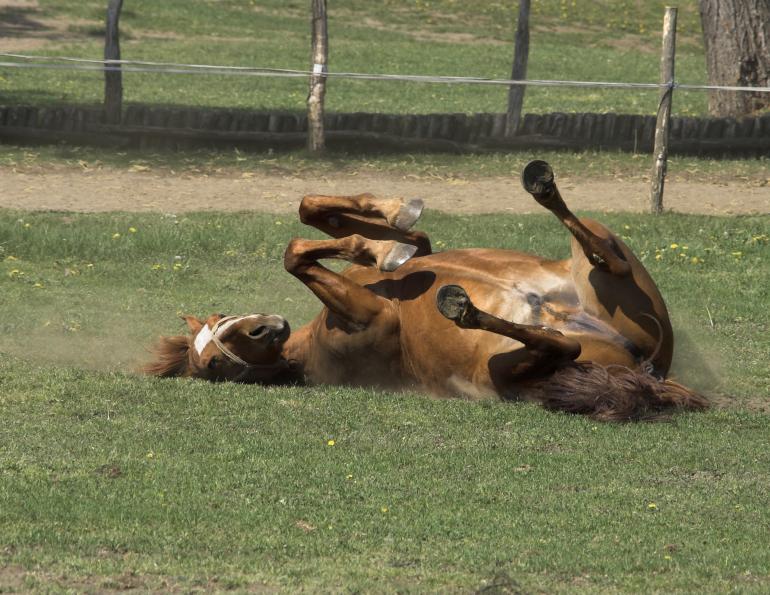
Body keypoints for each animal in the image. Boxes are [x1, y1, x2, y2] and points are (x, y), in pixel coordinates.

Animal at [144, 161, 707, 421]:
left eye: (219, 319)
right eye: (211, 364)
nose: (266, 327)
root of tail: (647, 370)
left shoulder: (404, 266)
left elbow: (320, 218)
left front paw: (387, 230)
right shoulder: (372, 316)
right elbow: (295, 253)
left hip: (608, 273)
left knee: (601, 254)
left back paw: (541, 188)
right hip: (508, 371)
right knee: (558, 342)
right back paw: (464, 307)